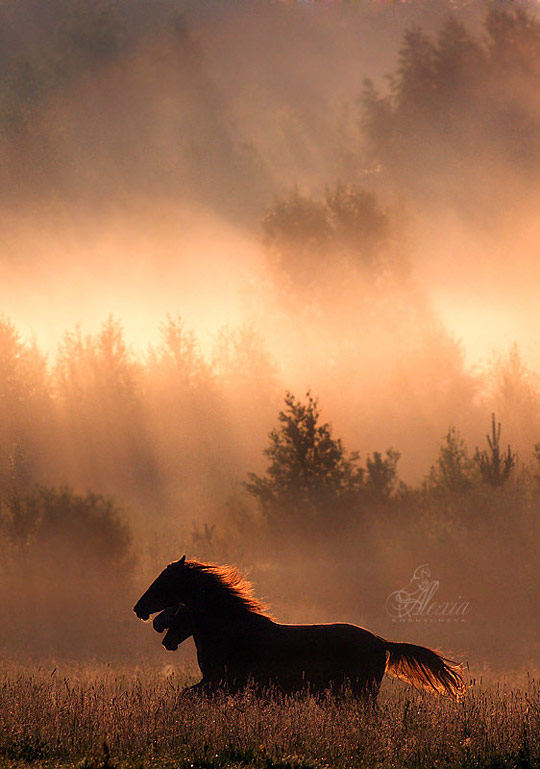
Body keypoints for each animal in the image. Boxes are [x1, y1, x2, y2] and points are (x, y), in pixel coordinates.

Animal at [134, 556, 465, 699]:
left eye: (164, 580)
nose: (140, 609)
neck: (232, 631)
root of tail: (381, 642)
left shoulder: (220, 683)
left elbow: (184, 698)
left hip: (359, 694)